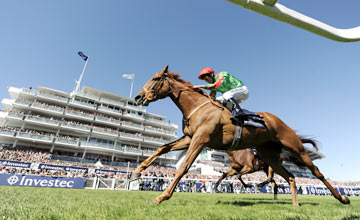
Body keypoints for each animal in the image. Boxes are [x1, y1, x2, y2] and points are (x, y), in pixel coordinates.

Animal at [134, 65, 350, 206]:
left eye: (155, 78)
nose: (138, 97)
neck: (197, 106)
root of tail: (280, 121)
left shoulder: (200, 139)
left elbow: (184, 167)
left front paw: (161, 197)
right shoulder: (189, 138)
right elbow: (162, 148)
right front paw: (137, 171)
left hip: (294, 146)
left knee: (316, 172)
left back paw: (343, 198)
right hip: (269, 156)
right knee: (289, 177)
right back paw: (295, 205)